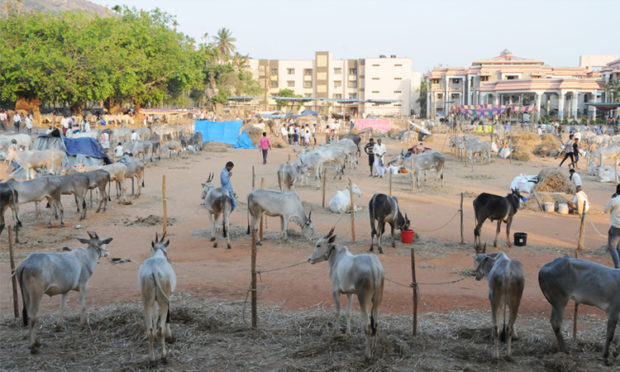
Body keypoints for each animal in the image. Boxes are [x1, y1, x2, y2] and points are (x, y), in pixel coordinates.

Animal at [136, 232, 173, 360]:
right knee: (161, 328)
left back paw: (151, 357)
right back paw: (164, 355)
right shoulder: (167, 296)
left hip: (147, 301)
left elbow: (155, 315)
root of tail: (155, 270)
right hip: (163, 300)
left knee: (150, 329)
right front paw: (170, 335)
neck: (158, 256)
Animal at [308, 228, 386, 358]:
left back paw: (367, 354)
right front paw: (348, 333)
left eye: (318, 245)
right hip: (378, 299)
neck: (336, 259)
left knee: (368, 326)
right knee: (376, 323)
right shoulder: (351, 294)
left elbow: (337, 312)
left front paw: (337, 333)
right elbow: (348, 313)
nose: (309, 259)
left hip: (363, 298)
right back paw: (374, 348)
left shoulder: (335, 291)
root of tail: (375, 266)